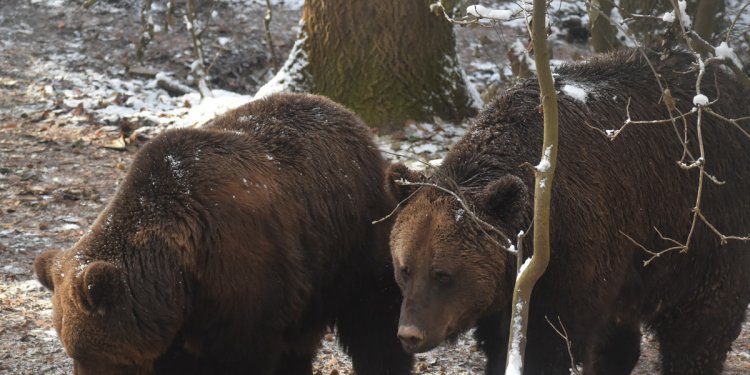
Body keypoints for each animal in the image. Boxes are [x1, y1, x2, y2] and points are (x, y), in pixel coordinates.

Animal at [33, 92, 418, 374]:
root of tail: (350, 117)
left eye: (90, 351)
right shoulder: (181, 324)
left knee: (375, 323)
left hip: (354, 249)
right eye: (70, 346)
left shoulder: (244, 282)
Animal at [384, 48, 750, 374]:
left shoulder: (573, 256)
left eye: (443, 274)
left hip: (702, 226)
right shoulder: (506, 292)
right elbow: (502, 343)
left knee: (700, 325)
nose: (410, 334)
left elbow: (550, 345)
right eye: (405, 269)